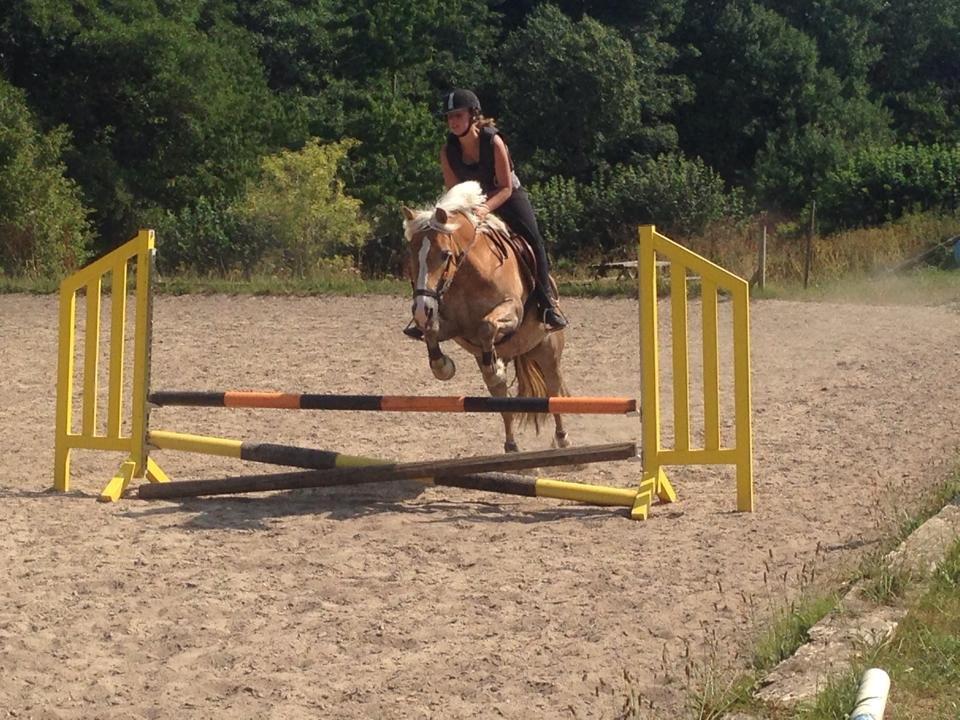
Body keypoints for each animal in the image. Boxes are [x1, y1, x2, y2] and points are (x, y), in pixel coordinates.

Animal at [400, 180, 568, 452]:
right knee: (503, 402)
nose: (421, 310)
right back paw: (511, 446)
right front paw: (443, 366)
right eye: (410, 257)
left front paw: (494, 367)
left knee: (554, 391)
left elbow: (487, 325)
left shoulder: (512, 311)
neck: (468, 274)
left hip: (548, 352)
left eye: (445, 254)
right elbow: (433, 332)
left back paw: (563, 439)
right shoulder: (455, 327)